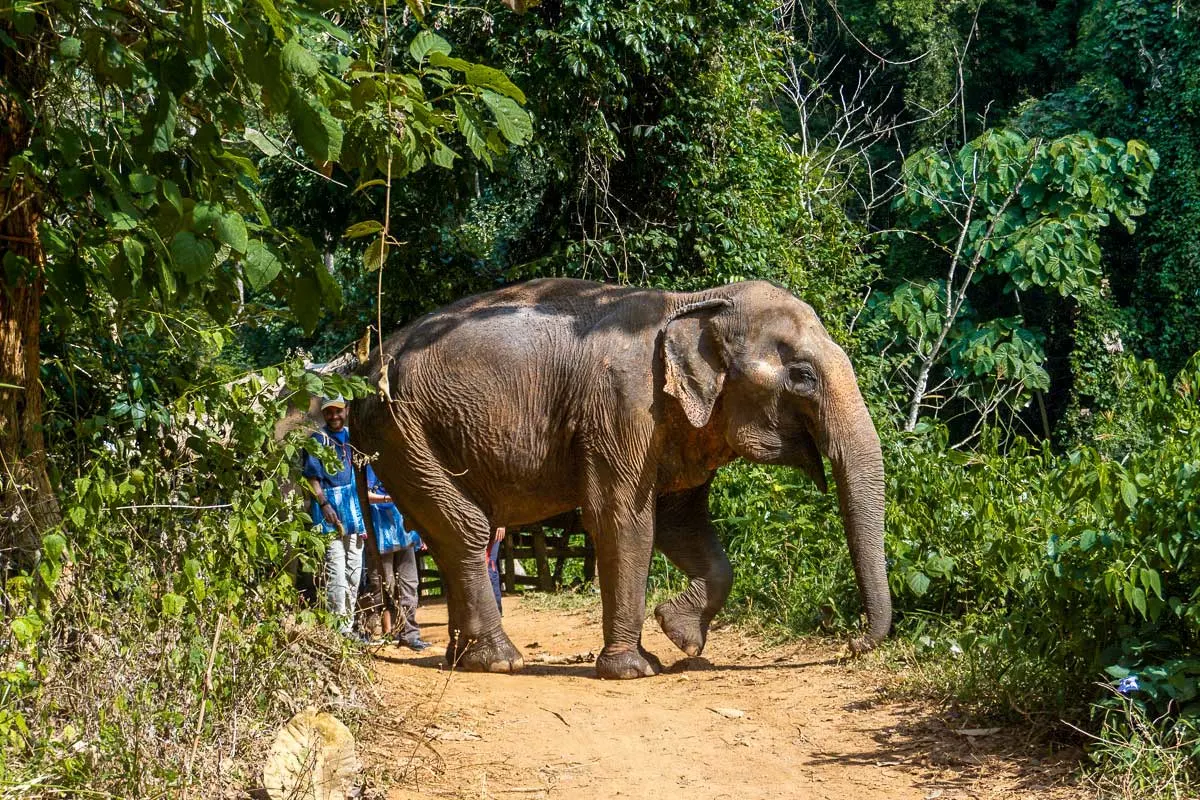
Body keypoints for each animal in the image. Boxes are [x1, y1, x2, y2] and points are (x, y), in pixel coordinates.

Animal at [350, 278, 892, 681]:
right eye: (802, 376)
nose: (852, 642)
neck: (694, 301)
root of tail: (363, 372)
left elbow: (682, 523)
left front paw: (681, 637)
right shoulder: (621, 406)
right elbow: (623, 520)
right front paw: (636, 670)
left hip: (404, 441)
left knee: (447, 534)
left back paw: (462, 660)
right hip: (403, 430)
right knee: (466, 530)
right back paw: (501, 662)